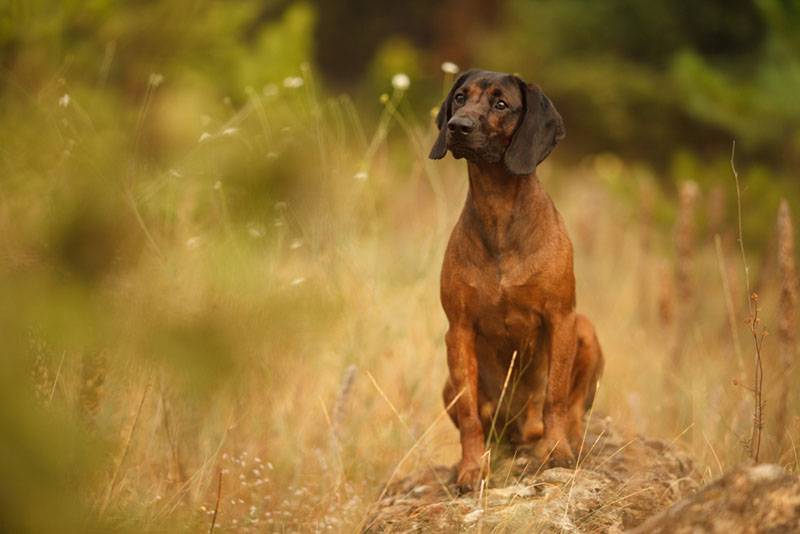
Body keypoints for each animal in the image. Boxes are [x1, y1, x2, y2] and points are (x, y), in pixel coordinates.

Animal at [428, 71, 604, 494]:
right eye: (460, 98)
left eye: (501, 104)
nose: (457, 126)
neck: (498, 210)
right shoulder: (458, 330)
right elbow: (470, 416)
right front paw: (471, 469)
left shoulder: (561, 319)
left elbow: (556, 395)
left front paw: (557, 451)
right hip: (448, 383)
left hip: (586, 330)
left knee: (574, 408)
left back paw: (569, 441)